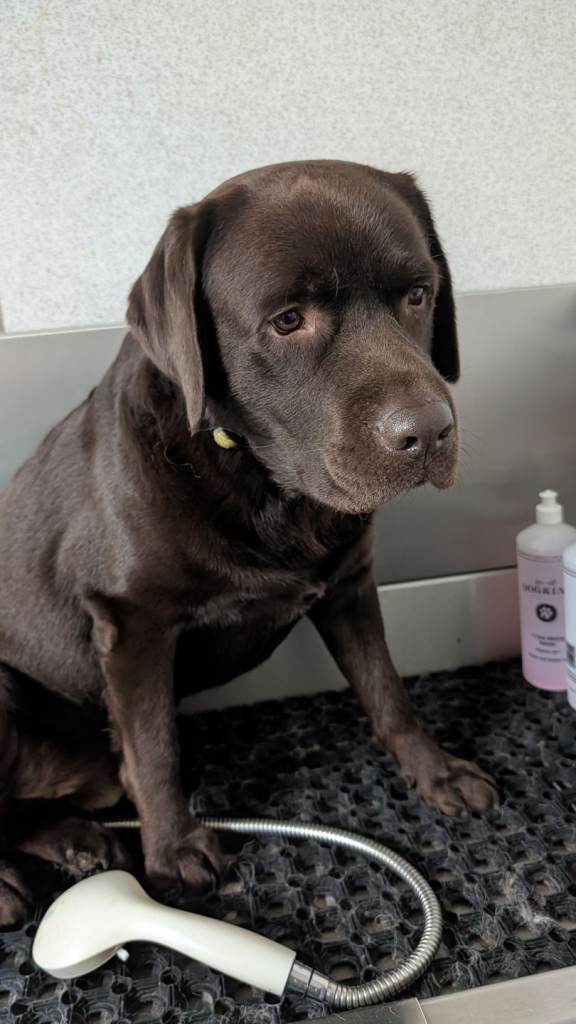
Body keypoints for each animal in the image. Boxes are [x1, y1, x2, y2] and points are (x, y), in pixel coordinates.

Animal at [0, 160, 497, 924]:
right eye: (288, 320)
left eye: (418, 294)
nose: (428, 431)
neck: (265, 485)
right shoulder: (132, 623)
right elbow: (154, 747)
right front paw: (175, 851)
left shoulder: (349, 585)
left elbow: (387, 690)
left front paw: (434, 770)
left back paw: (77, 841)